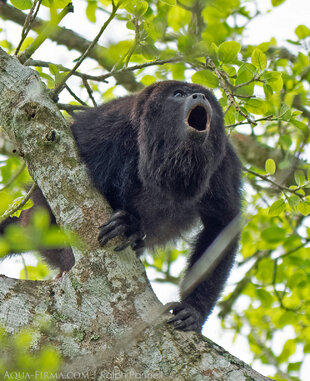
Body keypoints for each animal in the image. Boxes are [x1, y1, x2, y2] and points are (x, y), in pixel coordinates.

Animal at [0, 81, 241, 332]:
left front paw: (193, 310)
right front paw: (127, 226)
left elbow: (221, 226)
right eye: (178, 94)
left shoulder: (225, 163)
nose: (199, 96)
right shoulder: (111, 129)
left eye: (204, 96)